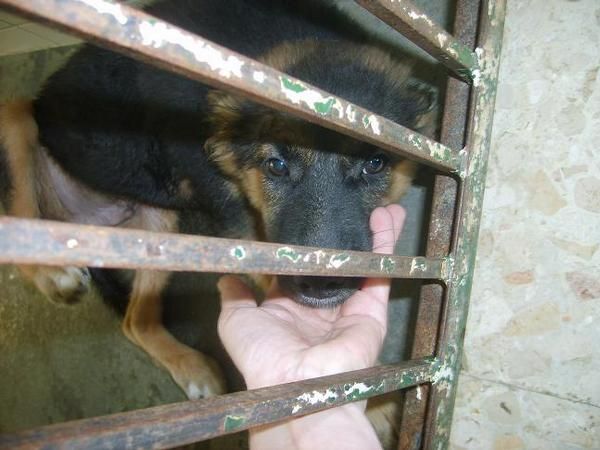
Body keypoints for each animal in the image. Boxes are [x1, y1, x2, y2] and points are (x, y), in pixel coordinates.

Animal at [0, 0, 436, 426]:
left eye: (375, 164)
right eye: (276, 165)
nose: (322, 285)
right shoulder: (241, 227)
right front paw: (371, 401)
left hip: (160, 228)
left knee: (135, 323)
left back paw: (194, 369)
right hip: (17, 120)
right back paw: (53, 274)